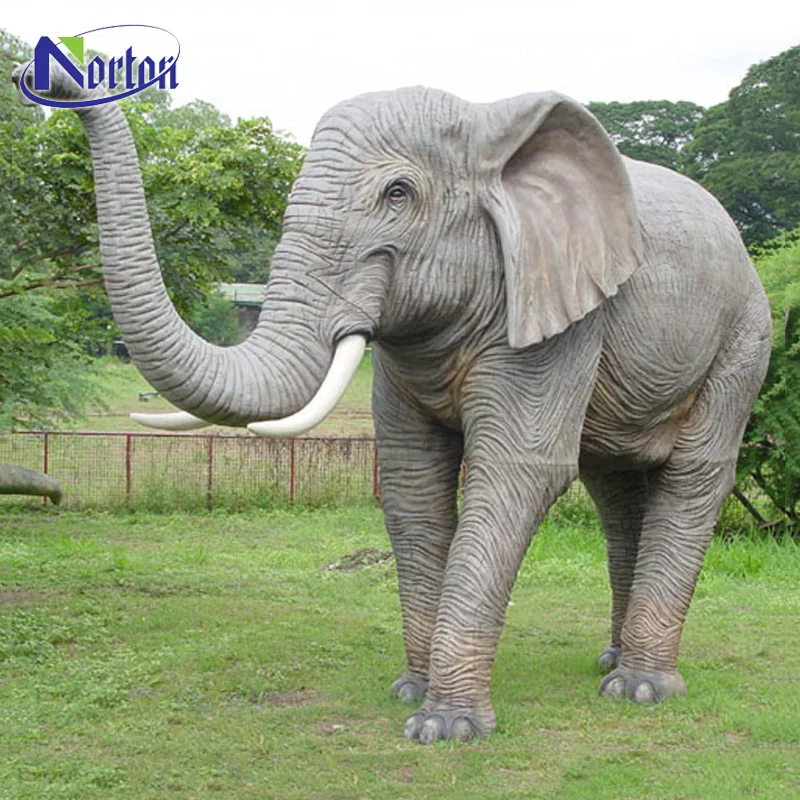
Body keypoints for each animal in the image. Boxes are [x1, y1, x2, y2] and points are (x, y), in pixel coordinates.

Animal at [13, 62, 771, 743]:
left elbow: (516, 474)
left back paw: (640, 689)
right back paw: (610, 664)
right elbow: (412, 481)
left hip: (744, 338)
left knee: (692, 477)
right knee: (613, 490)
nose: (44, 77)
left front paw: (445, 727)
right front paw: (410, 692)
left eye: (398, 193)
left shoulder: (559, 311)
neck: (490, 126)